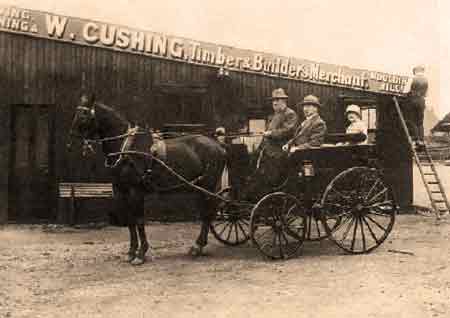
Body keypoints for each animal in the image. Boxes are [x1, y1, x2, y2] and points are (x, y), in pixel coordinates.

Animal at [69, 93, 229, 264]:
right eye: (76, 113)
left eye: (84, 115)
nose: (71, 140)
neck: (126, 147)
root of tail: (218, 146)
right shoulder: (121, 190)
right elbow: (130, 221)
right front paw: (131, 252)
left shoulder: (136, 191)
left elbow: (139, 220)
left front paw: (141, 253)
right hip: (199, 188)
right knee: (207, 213)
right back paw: (199, 246)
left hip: (207, 187)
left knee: (207, 213)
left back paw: (197, 246)